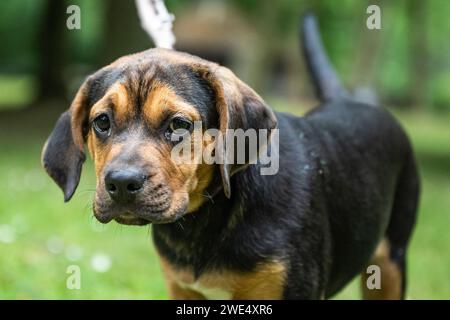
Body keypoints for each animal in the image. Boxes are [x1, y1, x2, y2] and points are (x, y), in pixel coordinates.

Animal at [41, 14, 418, 300]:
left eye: (178, 124)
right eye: (102, 122)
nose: (120, 183)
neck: (205, 218)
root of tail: (349, 100)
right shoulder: (183, 289)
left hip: (391, 262)